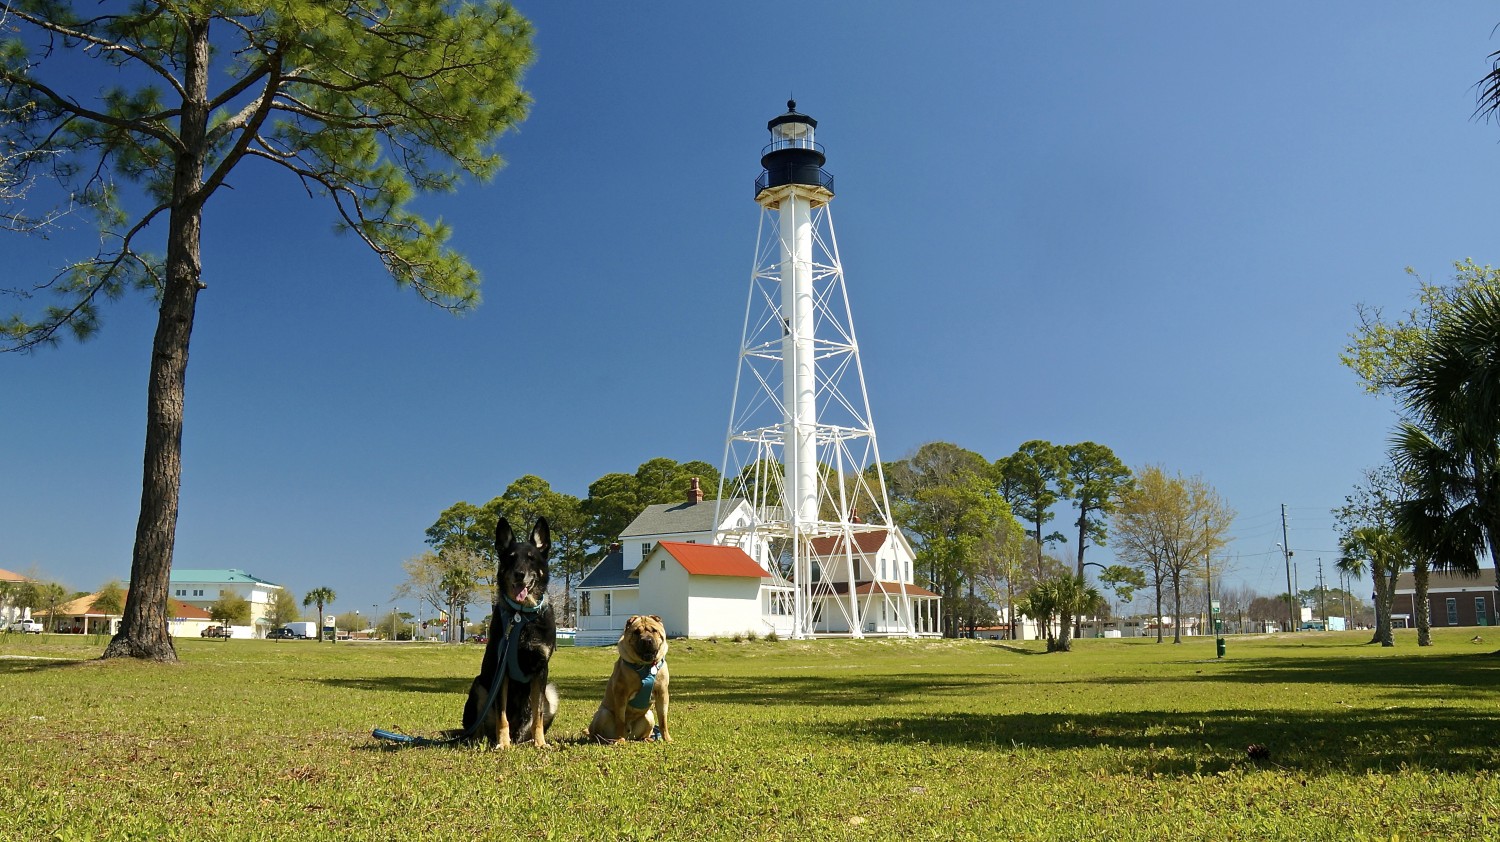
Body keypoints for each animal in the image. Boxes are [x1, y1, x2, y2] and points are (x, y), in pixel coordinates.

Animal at [459, 516, 561, 744]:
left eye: (531, 558)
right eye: (511, 558)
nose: (519, 574)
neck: (522, 616)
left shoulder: (541, 671)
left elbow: (538, 713)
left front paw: (541, 743)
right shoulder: (501, 671)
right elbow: (502, 714)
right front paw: (503, 744)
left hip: (551, 693)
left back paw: (529, 740)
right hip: (479, 686)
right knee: (476, 728)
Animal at [588, 609, 672, 741]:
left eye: (654, 630)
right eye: (636, 632)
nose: (647, 640)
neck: (646, 666)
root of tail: (629, 735)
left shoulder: (662, 693)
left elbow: (663, 720)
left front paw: (667, 739)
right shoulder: (621, 694)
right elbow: (620, 720)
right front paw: (620, 740)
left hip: (649, 716)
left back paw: (647, 739)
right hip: (602, 714)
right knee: (596, 732)